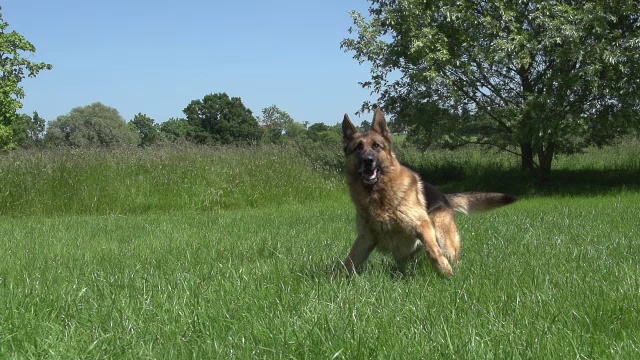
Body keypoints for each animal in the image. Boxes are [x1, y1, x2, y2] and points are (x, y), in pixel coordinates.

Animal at [340, 109, 516, 276]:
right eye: (358, 148)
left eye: (377, 146)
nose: (368, 160)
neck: (379, 196)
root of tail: (444, 196)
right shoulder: (365, 239)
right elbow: (349, 261)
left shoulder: (422, 226)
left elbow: (434, 252)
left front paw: (447, 274)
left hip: (443, 238)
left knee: (451, 256)